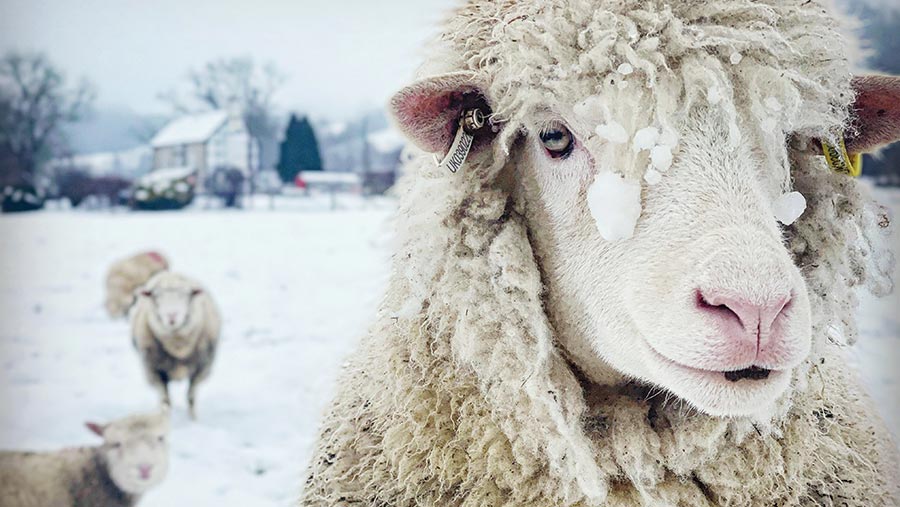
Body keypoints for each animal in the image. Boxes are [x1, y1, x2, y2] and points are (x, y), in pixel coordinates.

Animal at [131, 272, 221, 418]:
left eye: (186, 295)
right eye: (157, 296)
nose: (172, 316)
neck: (177, 345)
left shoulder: (201, 368)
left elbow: (191, 398)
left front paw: (193, 419)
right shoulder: (154, 371)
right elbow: (165, 400)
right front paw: (165, 417)